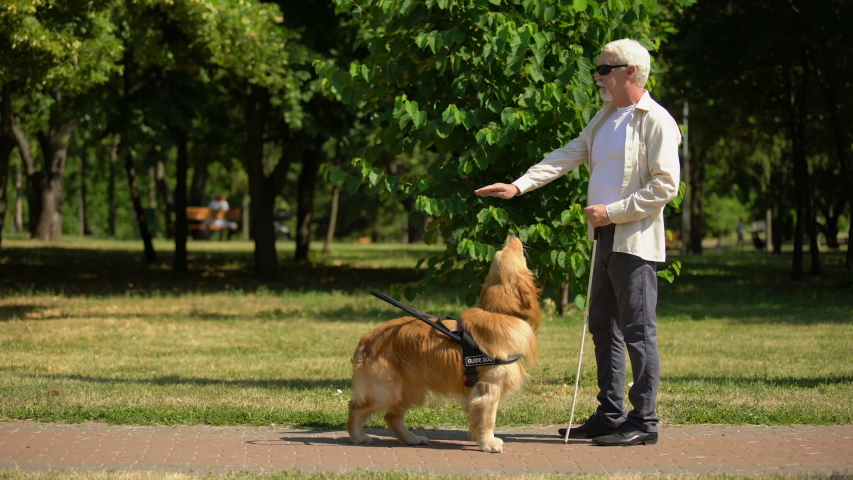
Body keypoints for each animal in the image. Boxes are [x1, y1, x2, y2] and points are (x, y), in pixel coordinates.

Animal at [346, 234, 540, 452]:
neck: (499, 312)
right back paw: (358, 436)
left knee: (391, 416)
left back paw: (412, 438)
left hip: (409, 389)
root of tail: (367, 339)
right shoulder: (489, 386)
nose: (513, 235)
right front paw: (488, 443)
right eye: (511, 251)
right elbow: (488, 418)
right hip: (384, 390)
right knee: (355, 407)